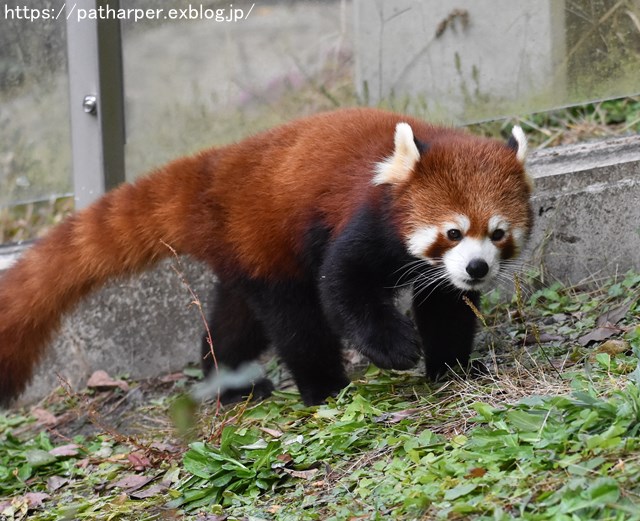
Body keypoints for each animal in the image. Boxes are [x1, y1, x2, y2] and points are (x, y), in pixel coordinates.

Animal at [0, 106, 528, 406]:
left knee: (235, 323)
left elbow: (446, 307)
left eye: (497, 233)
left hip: (241, 253)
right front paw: (395, 348)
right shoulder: (363, 221)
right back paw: (323, 388)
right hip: (266, 243)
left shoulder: (440, 275)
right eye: (453, 232)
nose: (477, 267)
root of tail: (219, 168)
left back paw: (230, 385)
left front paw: (453, 368)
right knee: (295, 319)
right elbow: (342, 286)